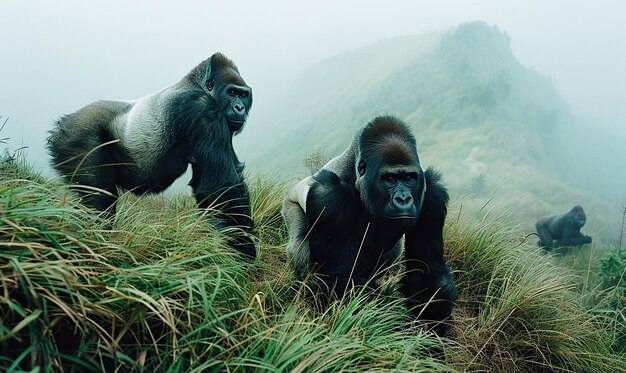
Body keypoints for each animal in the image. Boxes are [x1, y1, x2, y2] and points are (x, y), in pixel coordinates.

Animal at [46, 52, 256, 258]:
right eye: (232, 93)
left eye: (243, 95)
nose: (239, 108)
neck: (198, 85)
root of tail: (61, 123)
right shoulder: (202, 109)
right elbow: (220, 187)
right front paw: (245, 251)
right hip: (74, 136)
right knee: (100, 200)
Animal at [282, 115, 454, 334]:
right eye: (389, 178)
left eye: (409, 177)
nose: (403, 199)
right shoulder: (326, 194)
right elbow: (345, 279)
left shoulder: (432, 193)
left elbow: (429, 270)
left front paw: (430, 332)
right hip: (290, 205)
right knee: (299, 246)